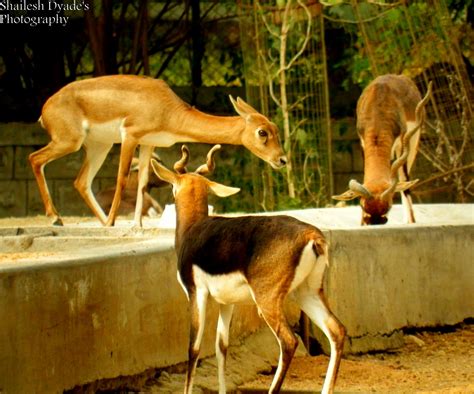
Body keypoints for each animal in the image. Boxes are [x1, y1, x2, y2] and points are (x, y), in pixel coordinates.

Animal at [31, 75, 286, 226]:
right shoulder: (130, 136)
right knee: (35, 158)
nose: (282, 160)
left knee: (81, 181)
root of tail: (45, 108)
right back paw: (56, 218)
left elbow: (143, 181)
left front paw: (137, 225)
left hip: (99, 146)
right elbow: (122, 177)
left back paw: (98, 222)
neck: (167, 108)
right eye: (262, 132)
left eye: (275, 128)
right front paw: (116, 223)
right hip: (70, 141)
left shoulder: (148, 142)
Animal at [151, 145, 344, 394]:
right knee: (337, 331)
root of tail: (312, 236)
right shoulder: (227, 302)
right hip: (307, 292)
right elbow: (221, 346)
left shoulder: (196, 293)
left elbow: (193, 348)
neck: (192, 229)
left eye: (173, 187)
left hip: (267, 300)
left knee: (289, 341)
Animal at [332, 74, 432, 225]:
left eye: (389, 206)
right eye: (362, 205)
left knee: (405, 179)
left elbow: (404, 181)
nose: (376, 222)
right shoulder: (362, 142)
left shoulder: (403, 141)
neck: (377, 111)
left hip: (414, 141)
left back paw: (409, 220)